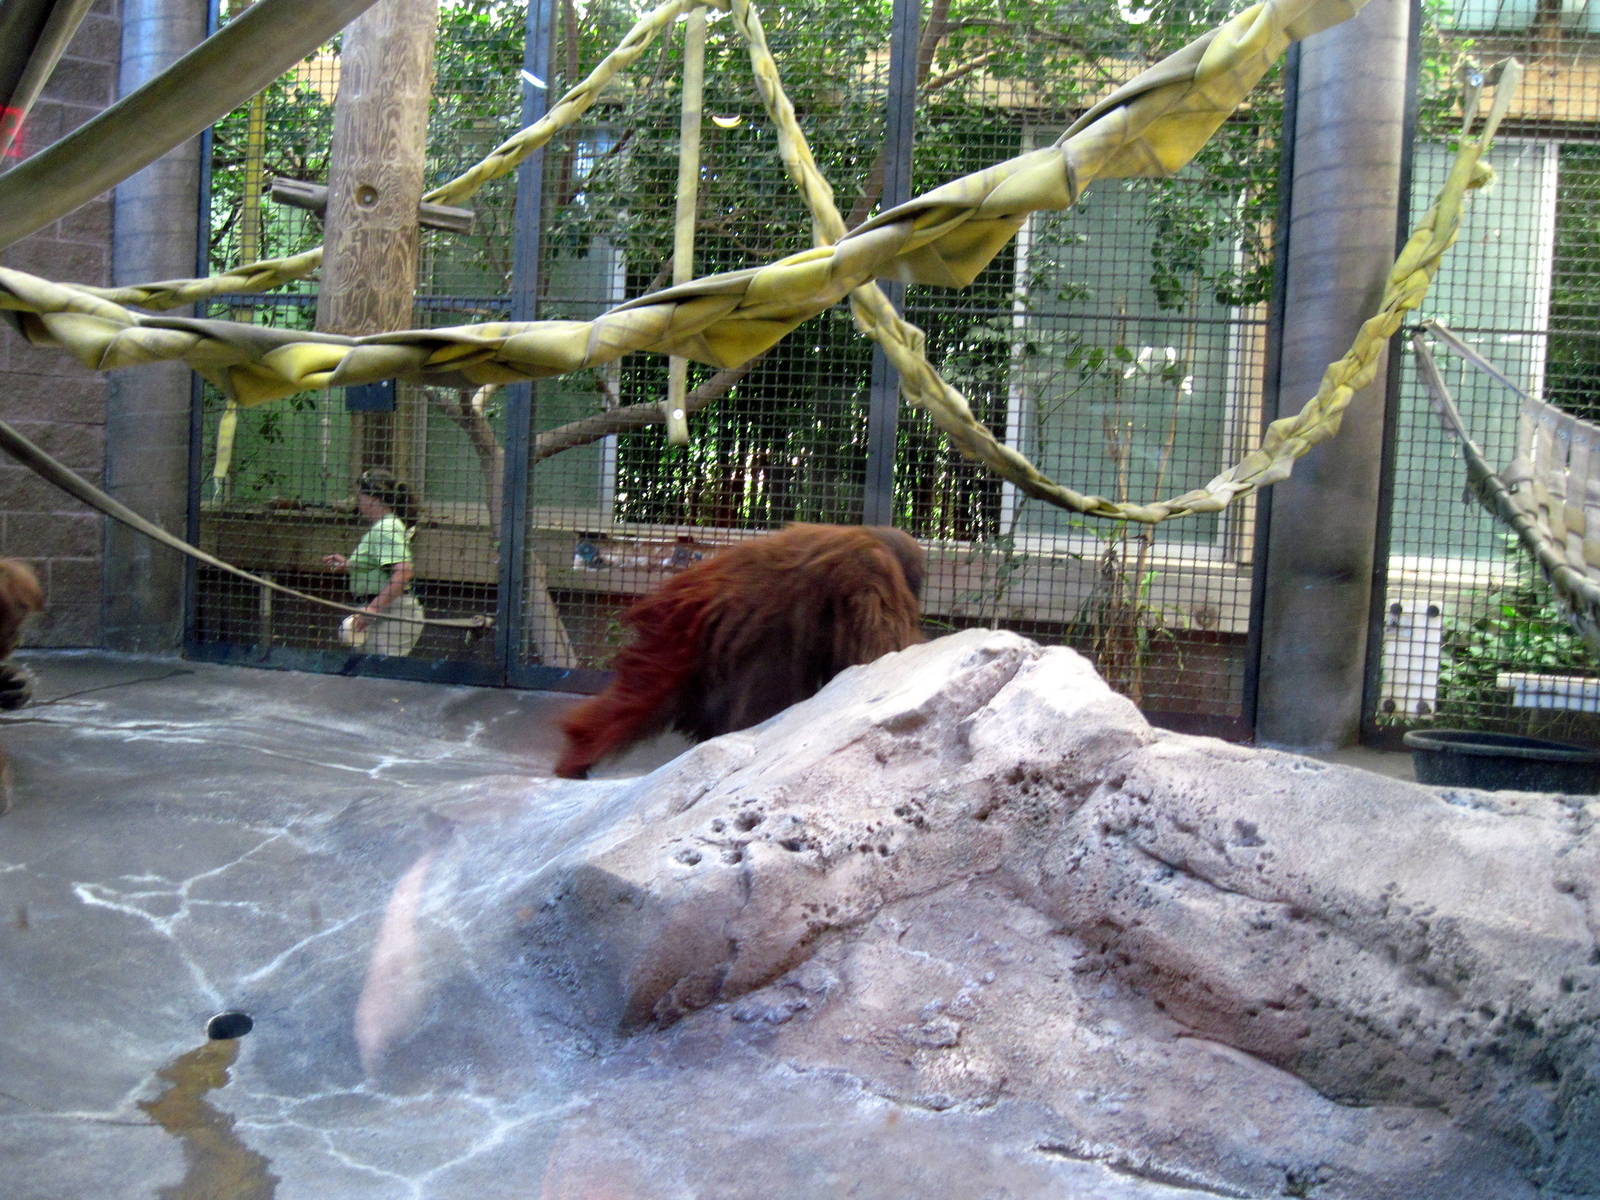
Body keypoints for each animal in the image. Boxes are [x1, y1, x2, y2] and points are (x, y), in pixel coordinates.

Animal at [554, 524, 925, 779]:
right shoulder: (872, 576)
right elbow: (879, 651)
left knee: (639, 695)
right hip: (680, 628)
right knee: (648, 692)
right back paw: (577, 755)